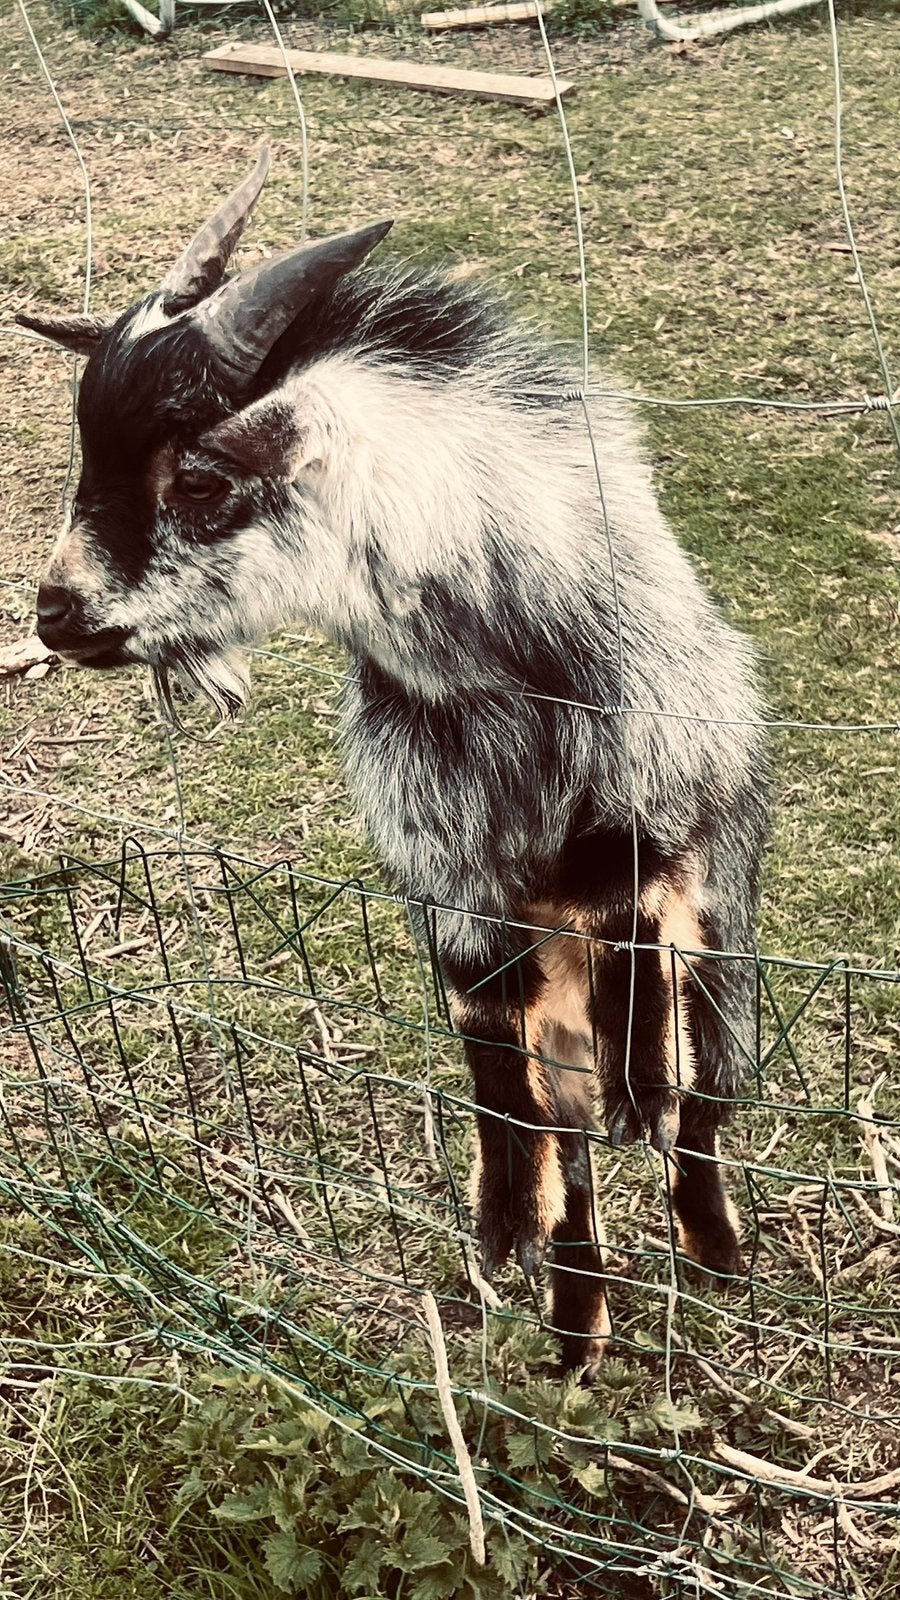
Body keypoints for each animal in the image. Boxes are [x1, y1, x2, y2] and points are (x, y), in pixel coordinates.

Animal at [20, 149, 767, 1377]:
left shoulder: (652, 811)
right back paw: (574, 1324)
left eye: (200, 480)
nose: (54, 615)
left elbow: (637, 953)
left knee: (710, 1075)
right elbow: (500, 1072)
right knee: (570, 1127)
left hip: (727, 916)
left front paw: (641, 1097)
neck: (493, 679)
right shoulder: (451, 888)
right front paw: (504, 1230)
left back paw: (710, 1244)